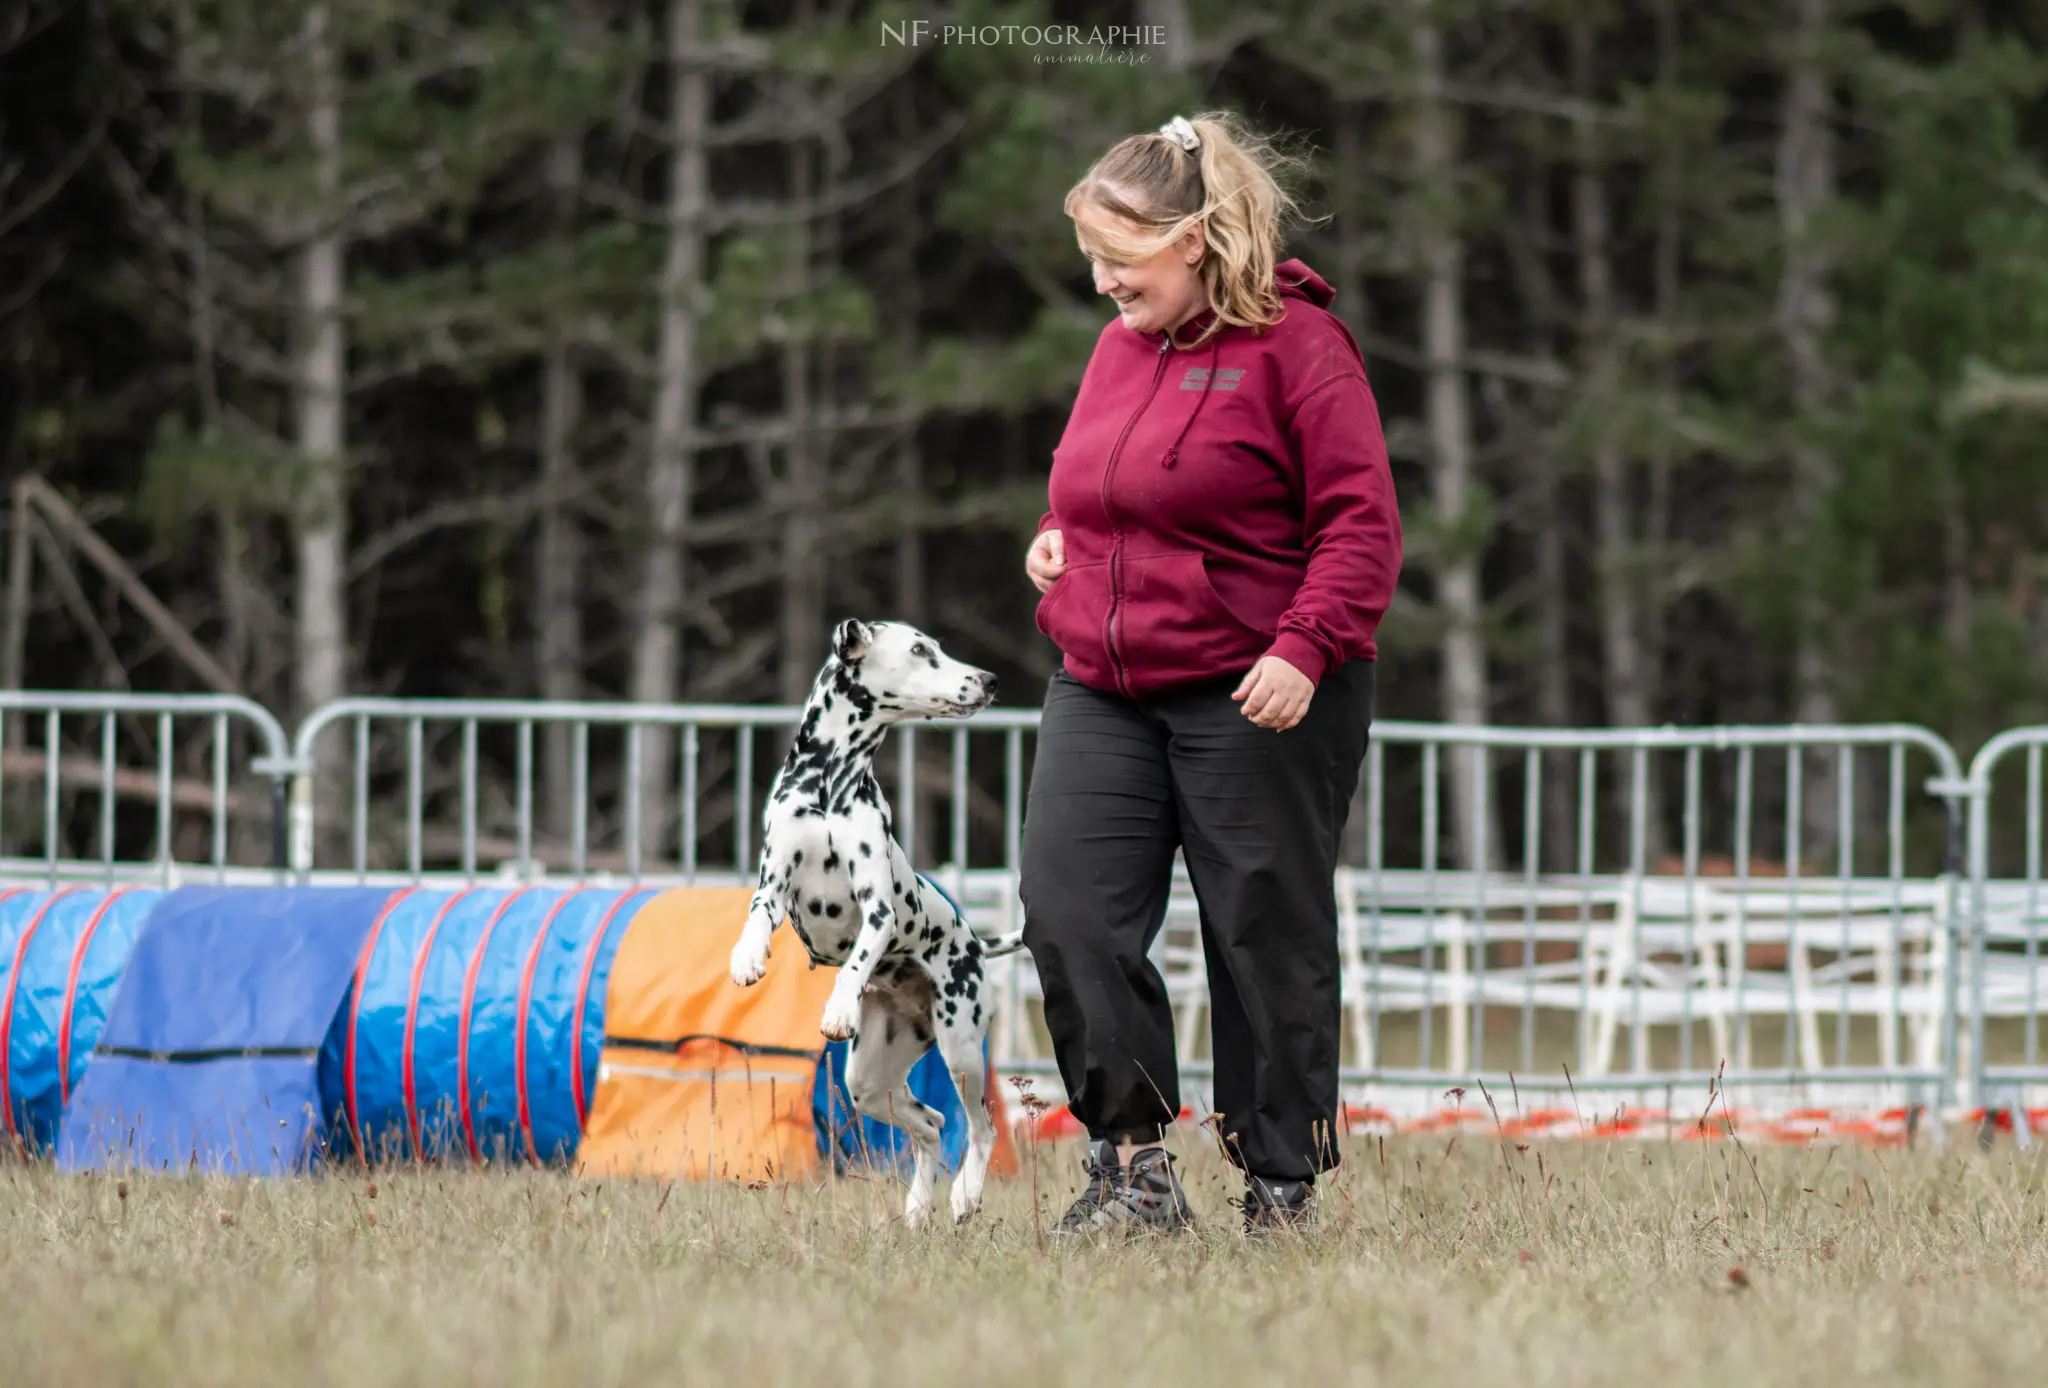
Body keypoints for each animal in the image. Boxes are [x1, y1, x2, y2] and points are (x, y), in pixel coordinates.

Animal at [733, 618, 1024, 1228]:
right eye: (918, 649)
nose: (987, 680)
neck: (829, 783)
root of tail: (977, 945)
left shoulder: (878, 908)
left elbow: (855, 962)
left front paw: (839, 1009)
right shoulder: (774, 886)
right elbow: (756, 919)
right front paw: (746, 958)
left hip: (961, 1047)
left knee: (979, 1128)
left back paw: (964, 1196)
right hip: (868, 1081)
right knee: (933, 1125)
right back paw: (916, 1209)